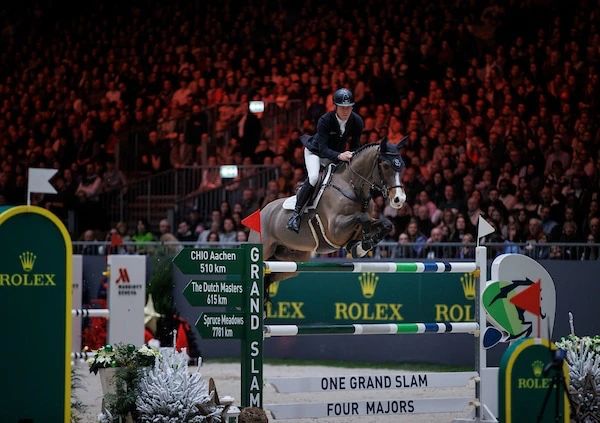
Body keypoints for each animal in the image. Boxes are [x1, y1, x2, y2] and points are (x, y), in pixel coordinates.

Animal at [250, 137, 407, 286]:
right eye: (386, 165)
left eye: (402, 165)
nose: (399, 199)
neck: (353, 188)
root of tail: (262, 211)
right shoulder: (335, 229)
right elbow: (361, 217)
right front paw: (363, 245)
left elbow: (385, 224)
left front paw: (362, 245)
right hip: (265, 249)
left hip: (291, 260)